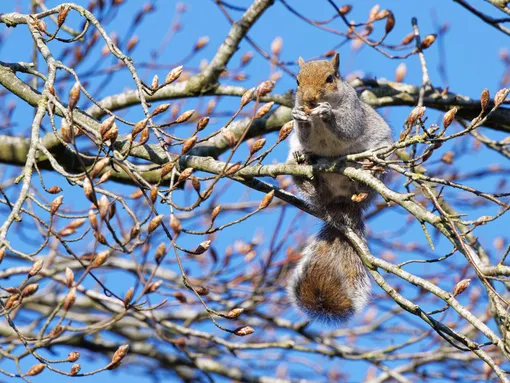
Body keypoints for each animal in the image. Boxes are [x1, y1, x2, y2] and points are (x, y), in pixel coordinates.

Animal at [286, 53, 394, 324]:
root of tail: (340, 202)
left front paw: (328, 113)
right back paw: (306, 169)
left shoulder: (353, 112)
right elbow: (304, 135)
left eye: (330, 78)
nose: (309, 100)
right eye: (297, 81)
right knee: (310, 183)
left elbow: (348, 128)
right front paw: (299, 116)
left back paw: (364, 172)